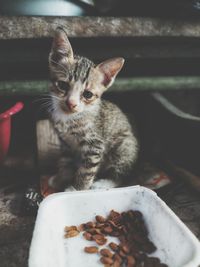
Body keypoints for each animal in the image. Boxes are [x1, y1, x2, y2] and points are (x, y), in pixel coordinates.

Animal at [48, 27, 139, 192]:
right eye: (62, 85)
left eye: (87, 94)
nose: (71, 103)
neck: (69, 117)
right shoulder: (65, 143)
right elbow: (65, 162)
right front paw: (60, 178)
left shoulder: (95, 144)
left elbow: (86, 171)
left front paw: (76, 190)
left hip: (125, 146)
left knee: (121, 173)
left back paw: (104, 184)